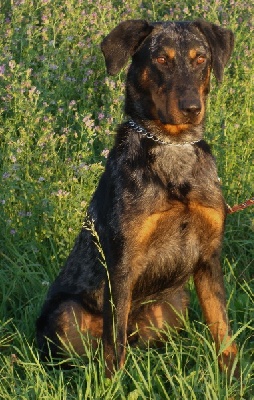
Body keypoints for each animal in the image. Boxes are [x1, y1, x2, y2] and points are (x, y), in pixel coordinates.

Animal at [36, 17, 238, 376]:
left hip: (174, 304)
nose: (192, 108)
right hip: (66, 314)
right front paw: (112, 383)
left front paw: (233, 380)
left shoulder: (209, 257)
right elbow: (112, 345)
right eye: (161, 59)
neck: (173, 150)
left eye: (200, 58)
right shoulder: (121, 264)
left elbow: (223, 331)